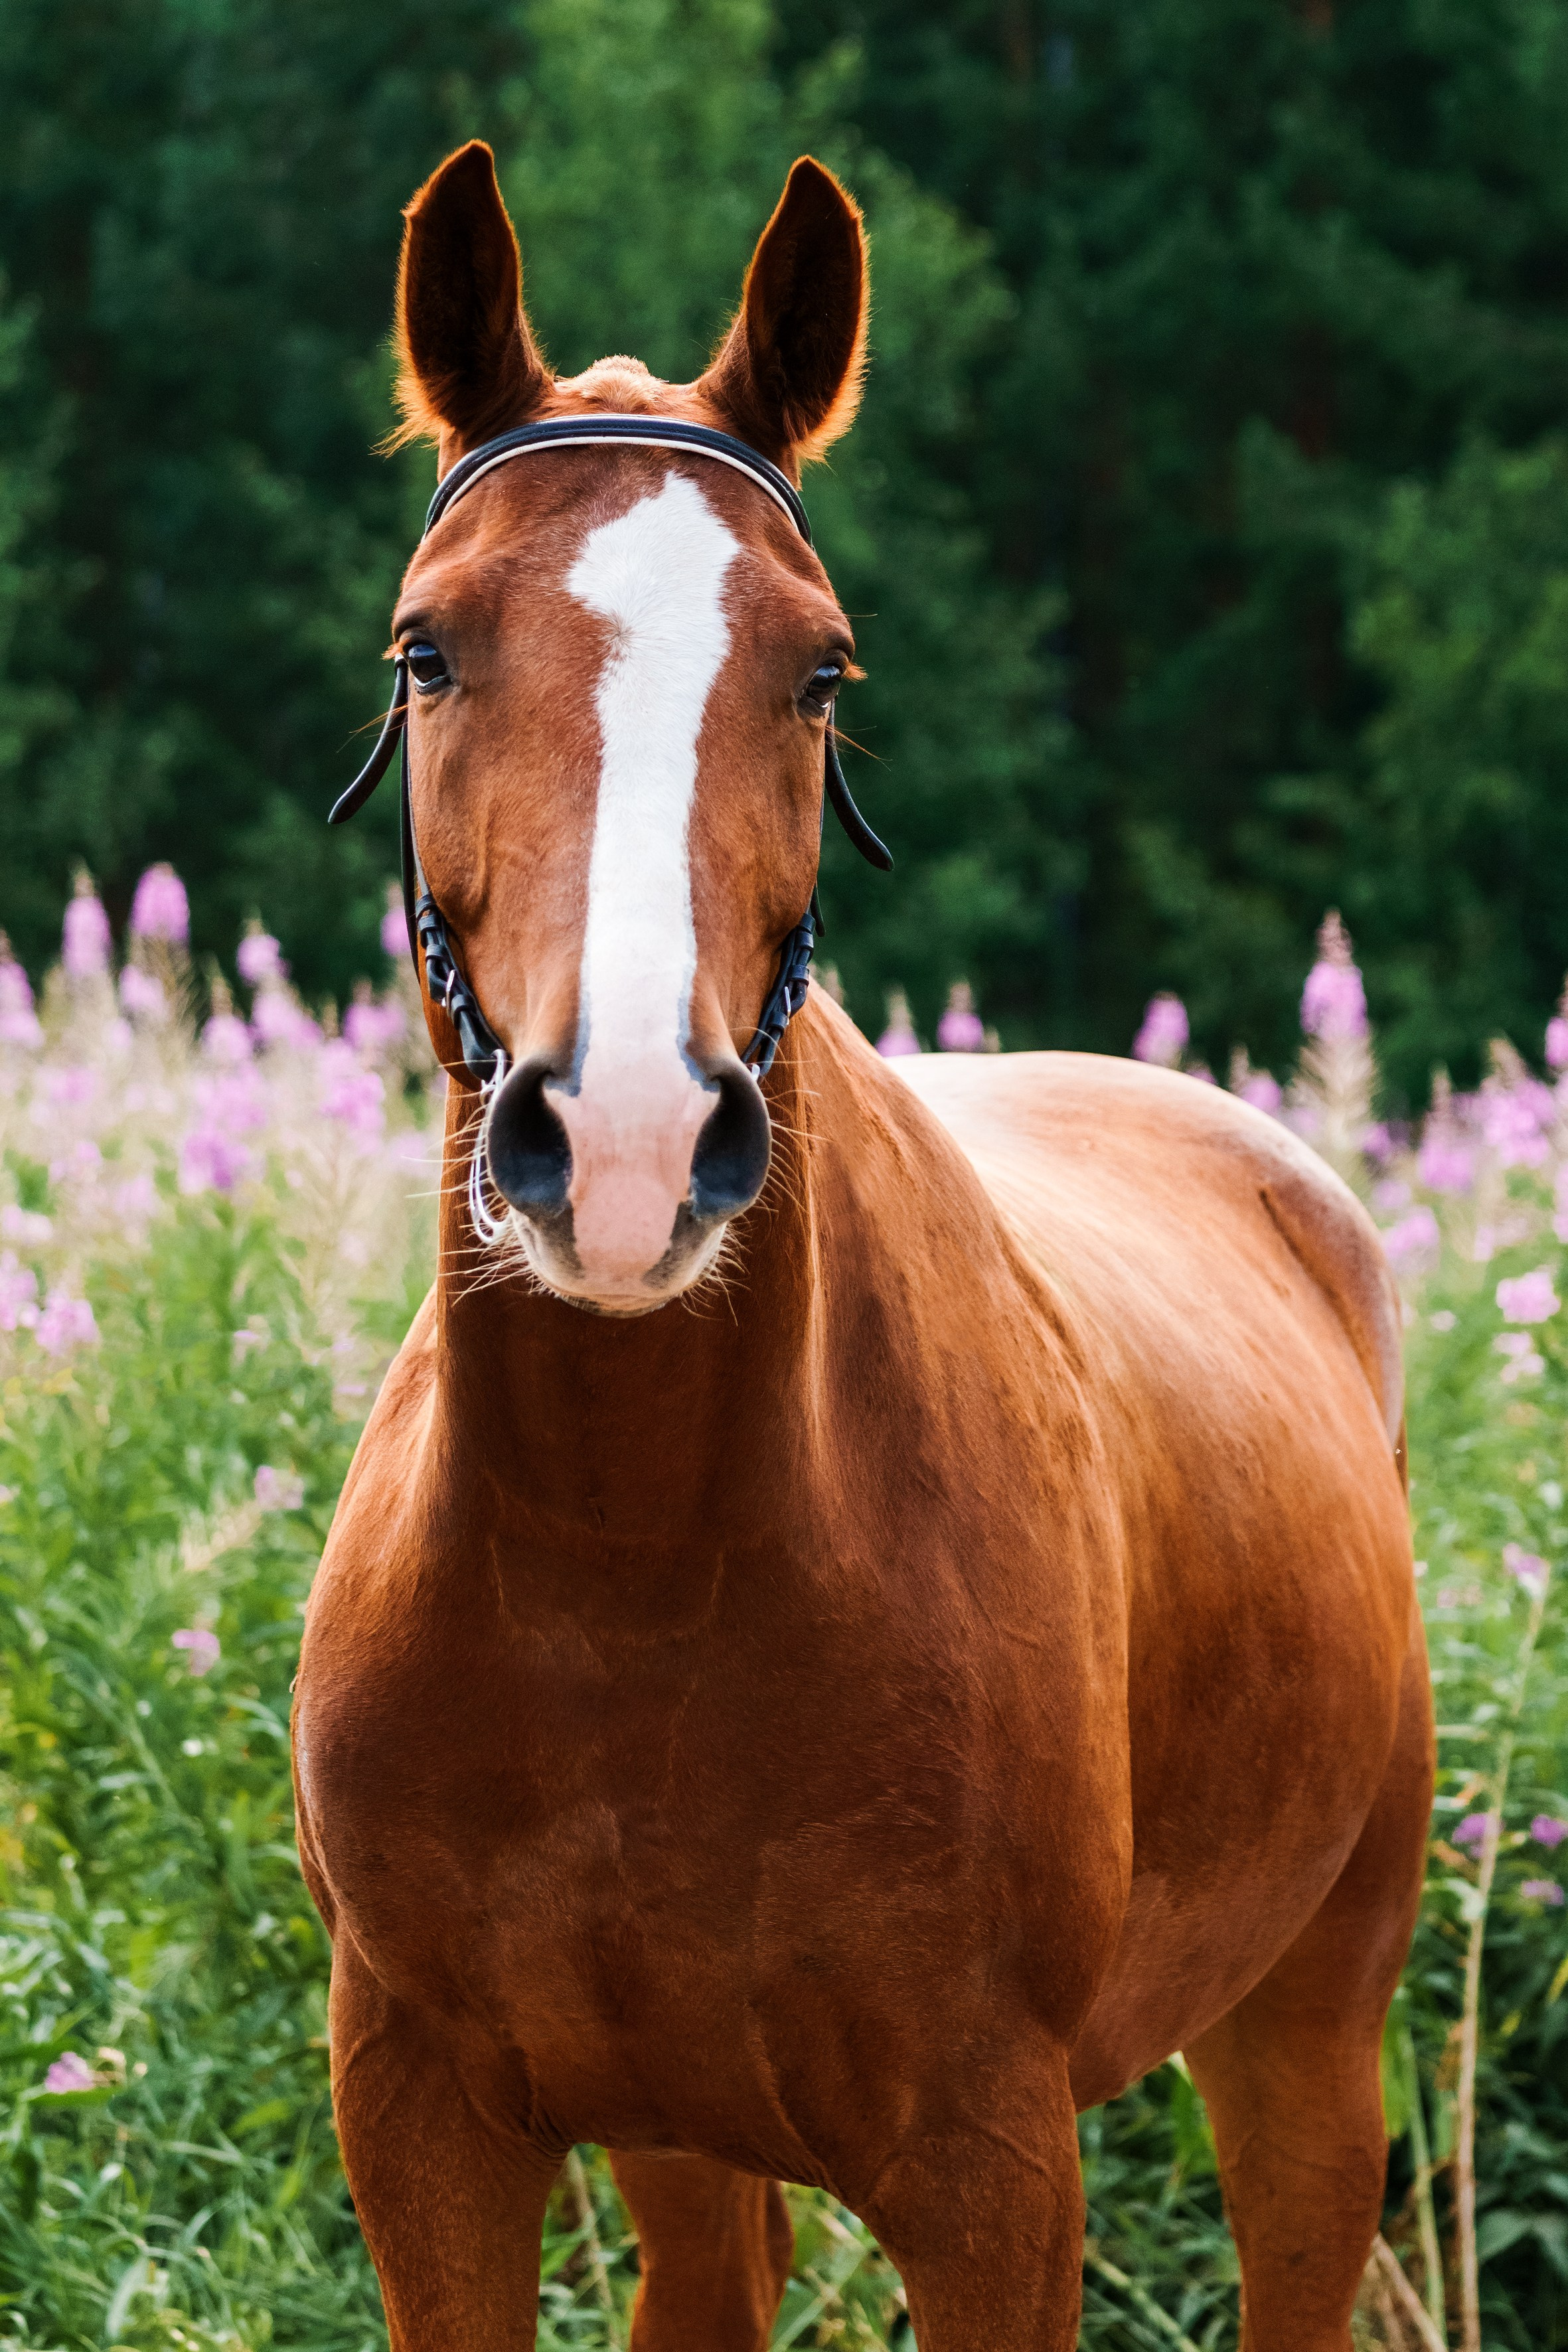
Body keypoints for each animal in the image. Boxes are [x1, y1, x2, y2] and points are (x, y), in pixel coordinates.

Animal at [292, 140, 1434, 2352]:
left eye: (818, 670)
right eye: (425, 650)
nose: (626, 1141)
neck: (629, 1559)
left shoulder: (989, 2160)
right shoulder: (427, 2116)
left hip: (1311, 2019)